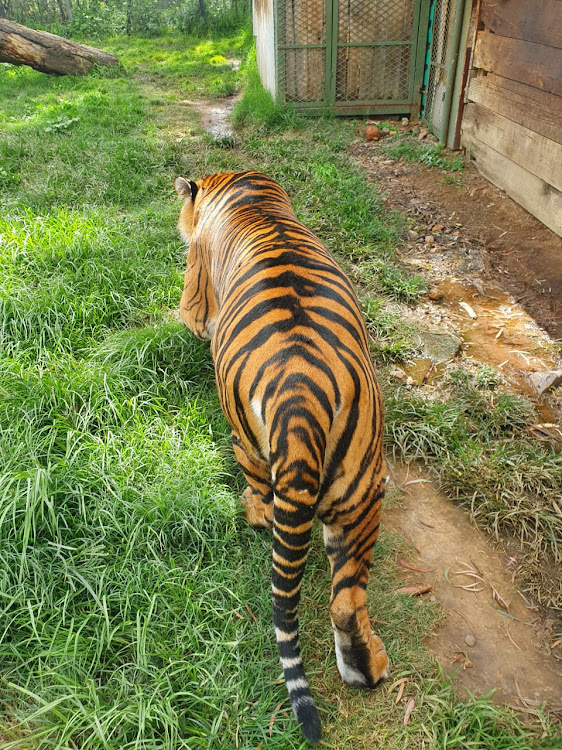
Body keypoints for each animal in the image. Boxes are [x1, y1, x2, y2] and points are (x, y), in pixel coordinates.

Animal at [173, 172, 388, 748]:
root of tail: (300, 399)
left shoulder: (194, 291)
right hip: (363, 493)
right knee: (345, 600)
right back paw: (368, 669)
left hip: (248, 441)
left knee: (263, 503)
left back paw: (250, 511)